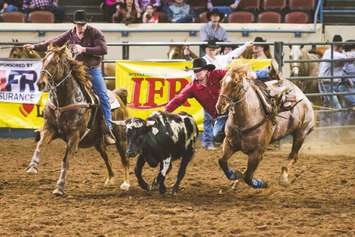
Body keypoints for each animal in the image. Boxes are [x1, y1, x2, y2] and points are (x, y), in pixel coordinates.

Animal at [25, 44, 131, 194]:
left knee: (124, 158)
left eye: (56, 62)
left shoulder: (74, 136)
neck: (64, 102)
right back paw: (110, 179)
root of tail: (117, 95)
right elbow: (40, 144)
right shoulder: (49, 128)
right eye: (44, 60)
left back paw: (126, 183)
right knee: (106, 157)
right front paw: (32, 167)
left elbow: (65, 160)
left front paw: (59, 187)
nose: (41, 83)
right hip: (98, 142)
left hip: (121, 137)